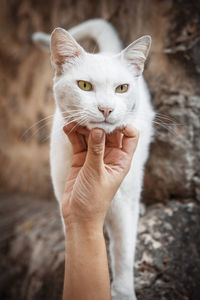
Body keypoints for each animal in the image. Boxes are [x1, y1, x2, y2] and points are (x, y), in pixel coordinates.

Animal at [33, 19, 155, 300]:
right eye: (84, 86)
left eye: (121, 88)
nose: (106, 109)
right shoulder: (64, 196)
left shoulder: (123, 205)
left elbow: (123, 251)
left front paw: (123, 291)